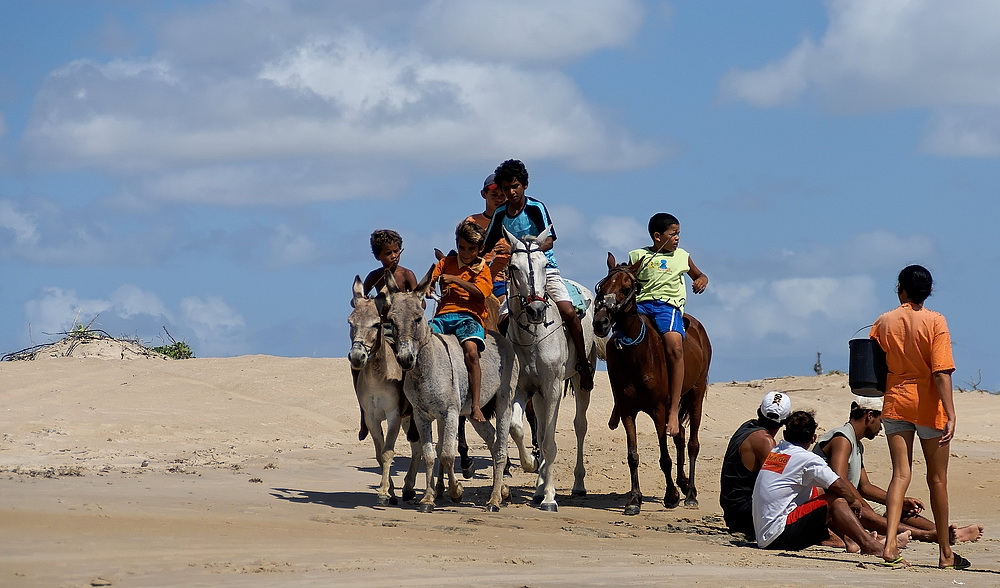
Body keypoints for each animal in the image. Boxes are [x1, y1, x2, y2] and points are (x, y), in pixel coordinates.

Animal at [348, 276, 422, 506]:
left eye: (376, 324)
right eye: (350, 322)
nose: (357, 357)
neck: (377, 379)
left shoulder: (393, 415)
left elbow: (388, 452)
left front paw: (382, 493)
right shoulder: (371, 418)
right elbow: (379, 453)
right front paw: (390, 491)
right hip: (409, 418)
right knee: (417, 448)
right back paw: (408, 489)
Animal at [376, 268, 516, 512]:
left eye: (418, 318)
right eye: (391, 319)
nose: (405, 359)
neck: (426, 367)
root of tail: (499, 337)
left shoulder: (450, 413)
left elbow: (448, 455)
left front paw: (456, 491)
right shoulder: (422, 415)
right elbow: (430, 455)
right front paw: (428, 499)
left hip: (503, 402)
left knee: (500, 447)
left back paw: (494, 500)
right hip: (474, 414)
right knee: (491, 439)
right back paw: (503, 491)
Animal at [504, 227, 596, 512]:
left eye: (545, 265)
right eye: (514, 267)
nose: (535, 309)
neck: (532, 337)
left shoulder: (553, 387)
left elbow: (549, 442)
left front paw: (550, 498)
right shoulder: (523, 389)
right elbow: (519, 429)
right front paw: (531, 465)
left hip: (579, 380)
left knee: (580, 426)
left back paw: (578, 485)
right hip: (539, 394)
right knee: (543, 427)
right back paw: (537, 488)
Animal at [592, 253, 712, 516]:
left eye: (626, 288)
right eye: (601, 288)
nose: (600, 323)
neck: (636, 354)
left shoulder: (658, 410)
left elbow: (664, 457)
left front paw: (671, 496)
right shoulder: (627, 411)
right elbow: (633, 455)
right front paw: (634, 499)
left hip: (695, 395)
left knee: (692, 443)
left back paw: (690, 494)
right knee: (680, 436)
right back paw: (684, 483)